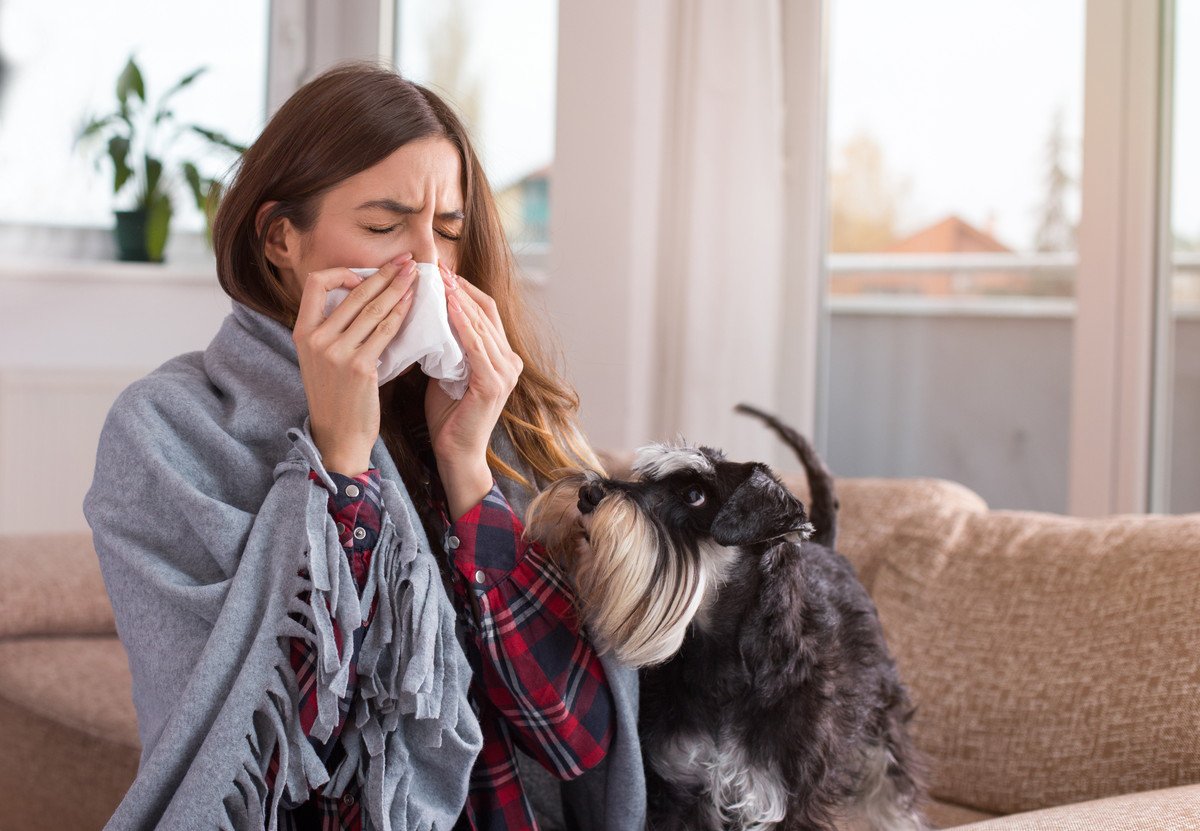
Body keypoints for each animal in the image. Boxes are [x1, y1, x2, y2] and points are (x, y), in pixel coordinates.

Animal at [525, 403, 926, 831]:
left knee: (892, 793)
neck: (721, 662)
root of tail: (827, 547)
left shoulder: (783, 797)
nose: (587, 494)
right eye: (647, 477)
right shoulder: (678, 787)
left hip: (882, 723)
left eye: (694, 495)